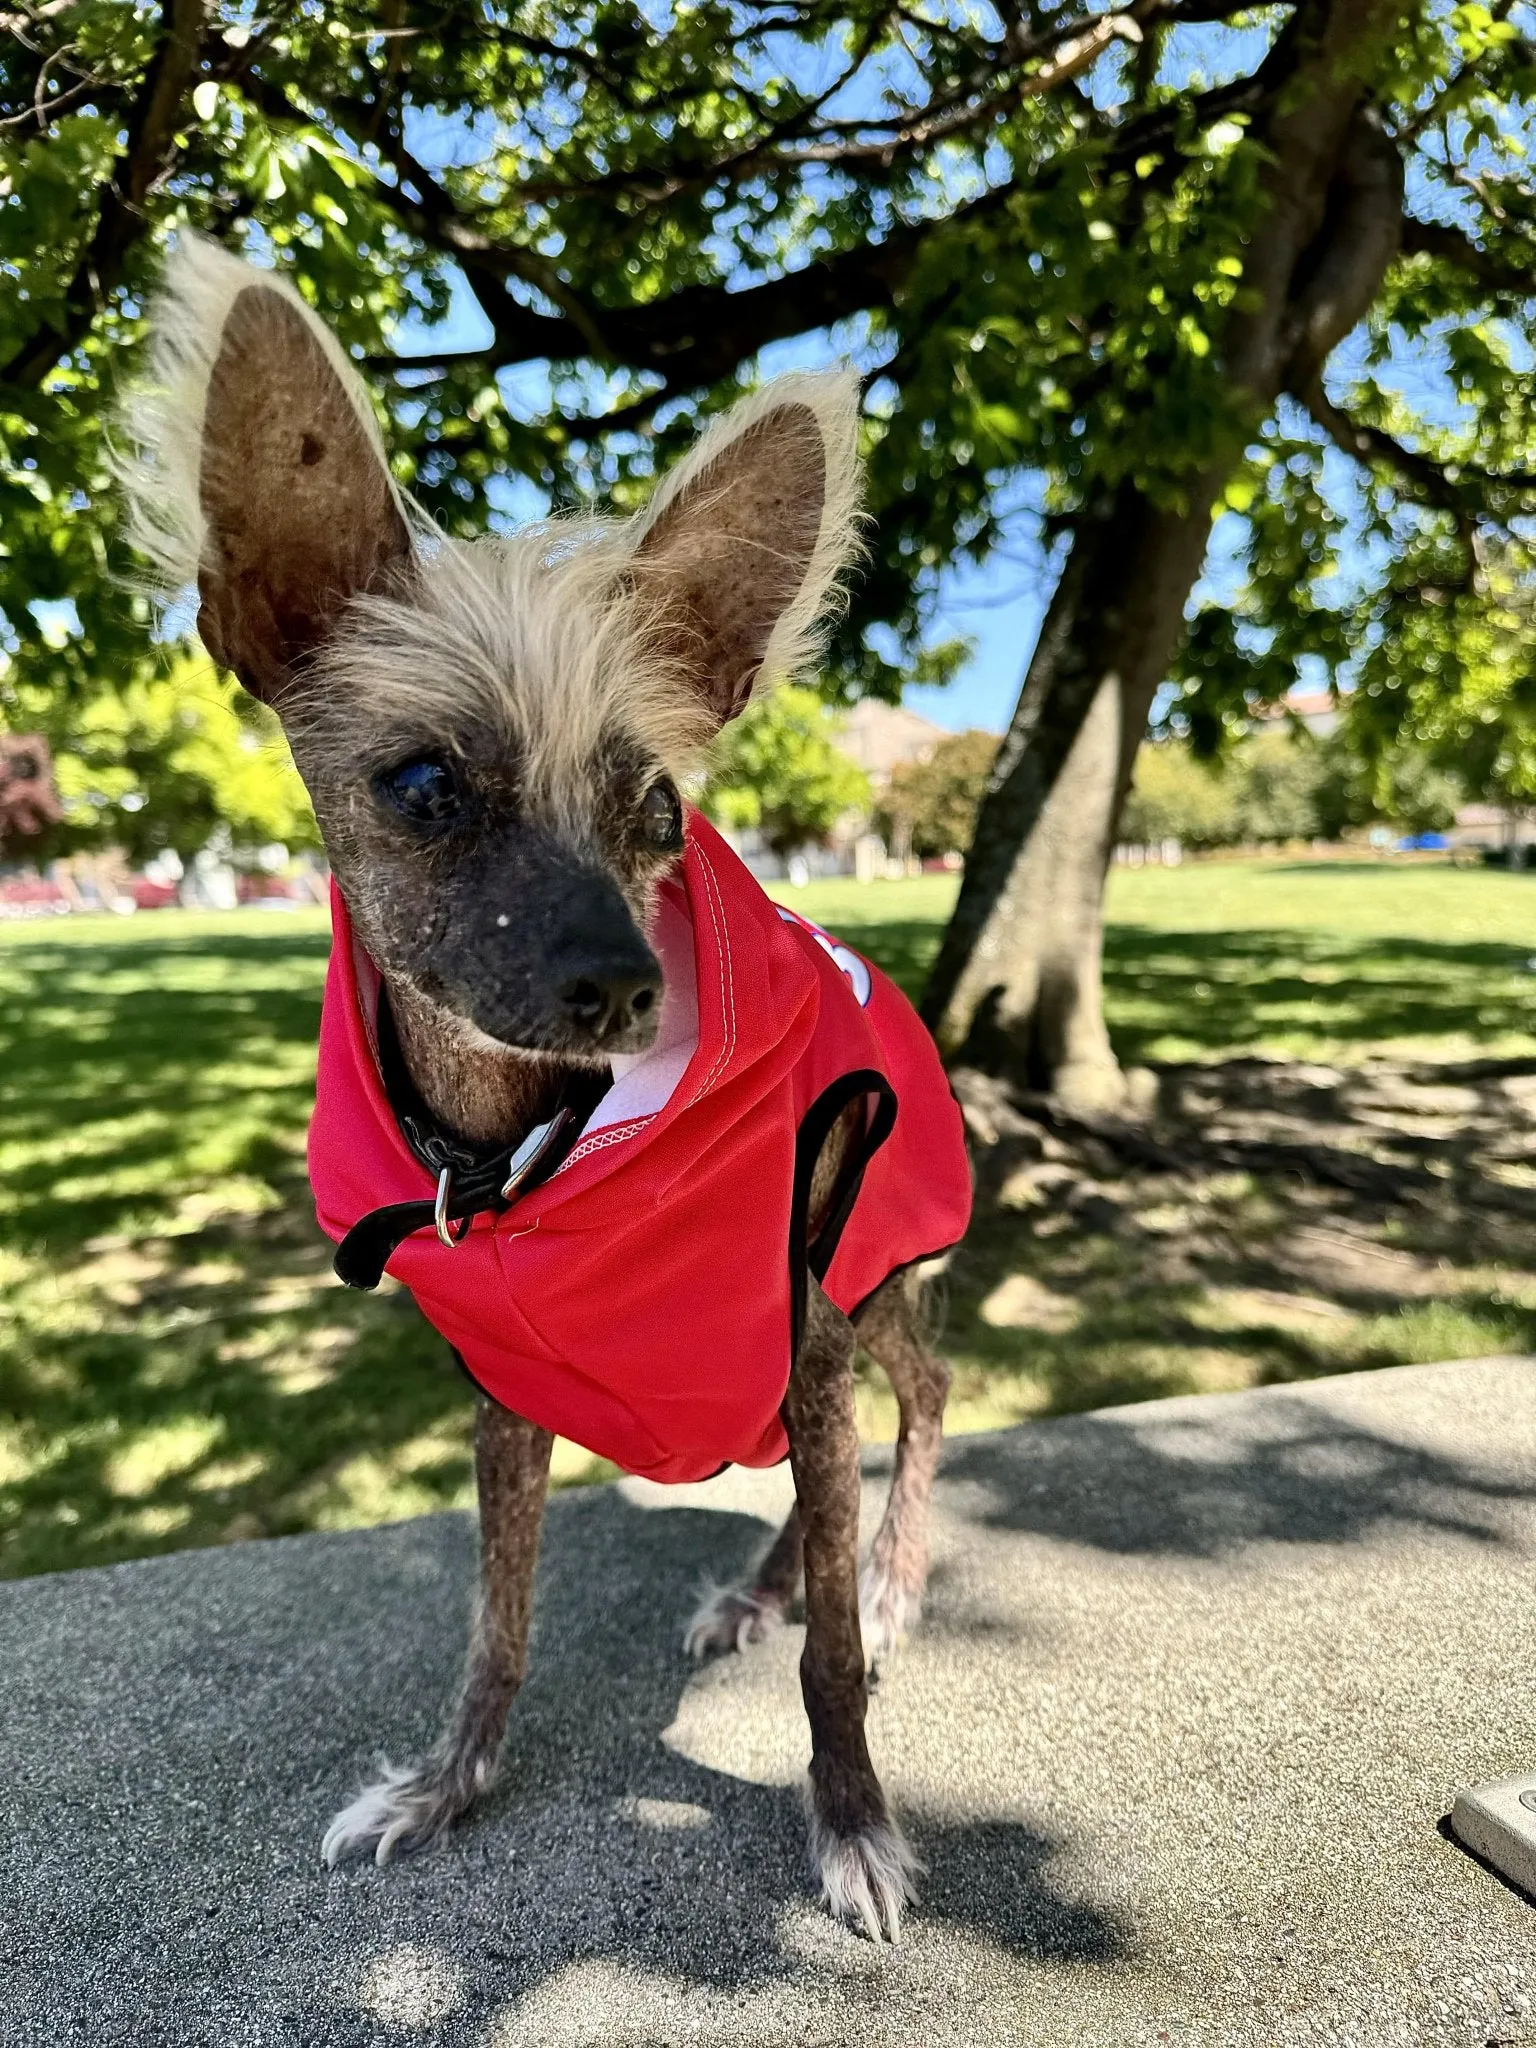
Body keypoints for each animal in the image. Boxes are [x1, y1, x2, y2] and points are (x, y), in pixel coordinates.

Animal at [129, 235, 974, 1933]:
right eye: (422, 785)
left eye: (656, 808)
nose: (626, 989)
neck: (520, 1155)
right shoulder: (512, 1400)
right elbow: (497, 1627)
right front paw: (450, 1789)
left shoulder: (801, 1320)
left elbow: (838, 1662)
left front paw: (851, 1819)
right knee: (816, 1474)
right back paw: (768, 1589)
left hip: (867, 1281)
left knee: (921, 1400)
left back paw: (894, 1573)